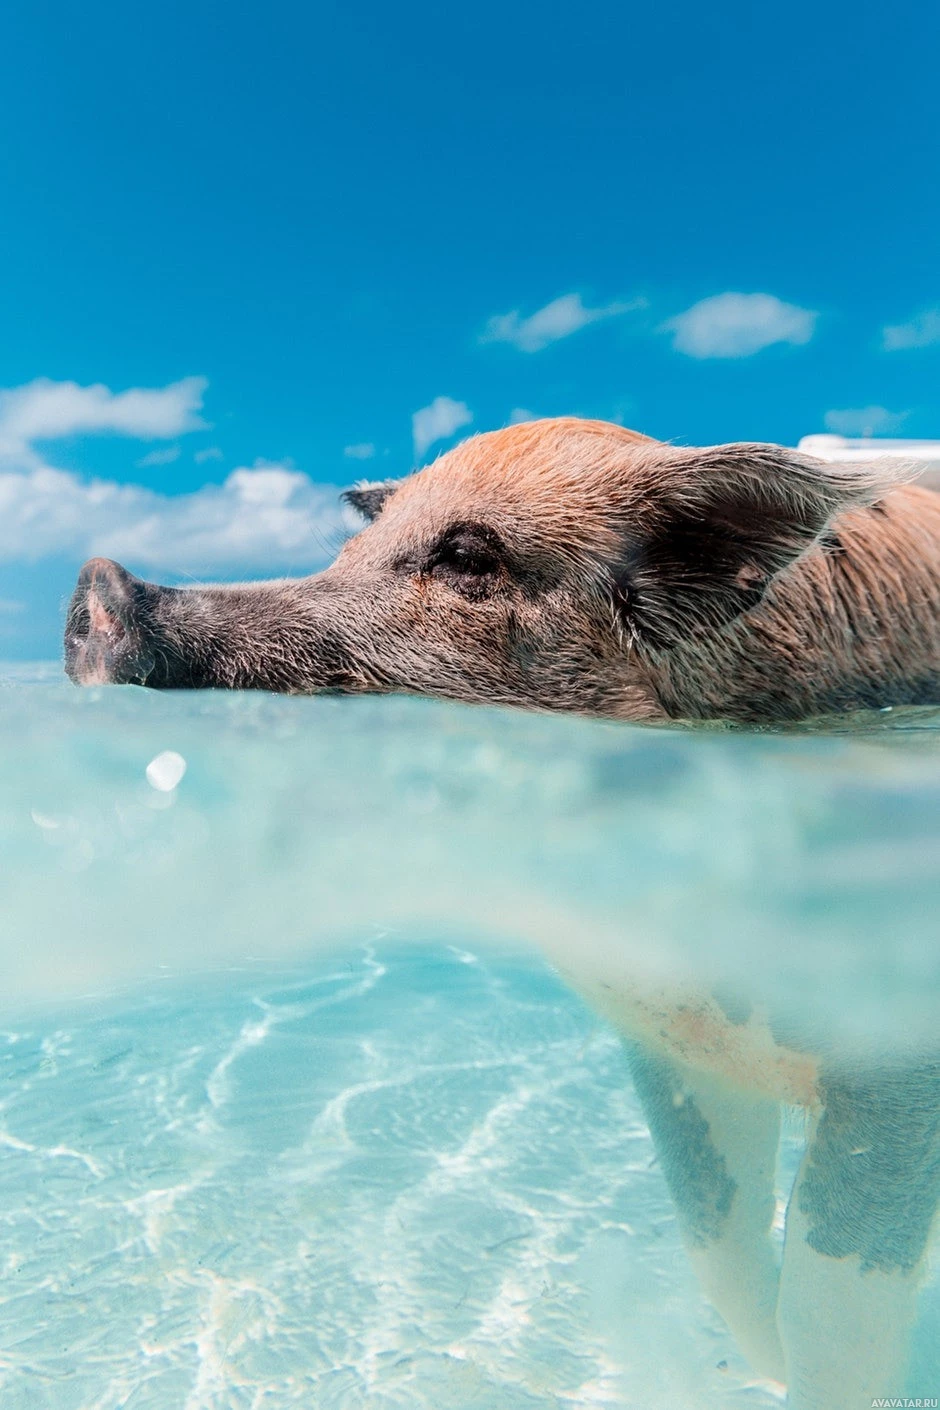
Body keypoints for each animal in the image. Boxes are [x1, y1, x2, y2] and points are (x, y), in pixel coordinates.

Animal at [62, 420, 935, 1410]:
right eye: (350, 550)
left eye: (469, 556)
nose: (100, 584)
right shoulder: (670, 1047)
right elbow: (720, 1243)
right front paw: (763, 1368)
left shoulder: (900, 1056)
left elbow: (834, 1298)